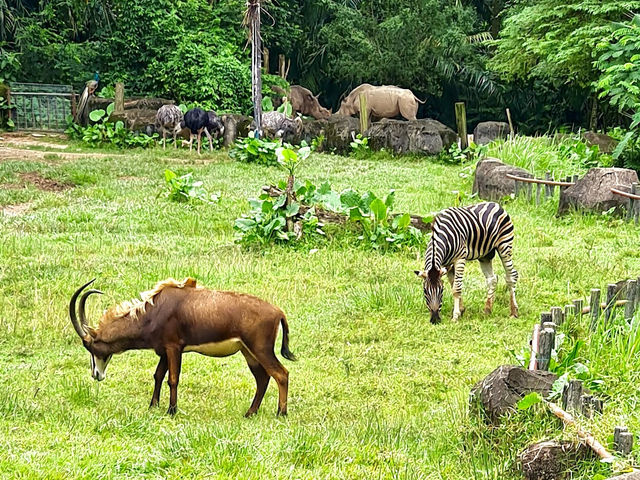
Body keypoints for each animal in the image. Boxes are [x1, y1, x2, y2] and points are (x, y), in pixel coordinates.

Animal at [69, 278, 296, 416]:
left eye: (90, 347)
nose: (96, 375)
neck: (153, 310)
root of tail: (278, 312)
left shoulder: (173, 348)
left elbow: (172, 378)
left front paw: (172, 410)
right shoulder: (163, 351)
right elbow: (158, 375)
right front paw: (153, 406)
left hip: (260, 349)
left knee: (281, 374)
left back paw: (281, 413)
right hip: (248, 352)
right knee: (263, 378)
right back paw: (250, 413)